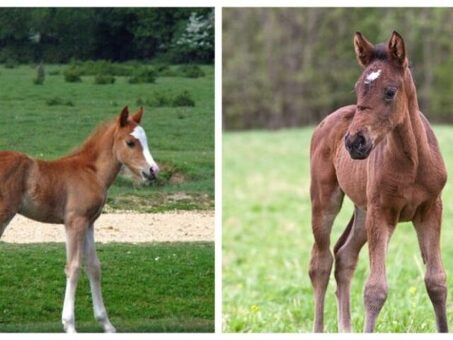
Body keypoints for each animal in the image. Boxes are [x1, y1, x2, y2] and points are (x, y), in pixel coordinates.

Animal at [0, 107, 159, 332]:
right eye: (130, 142)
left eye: (145, 140)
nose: (153, 171)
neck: (91, 172)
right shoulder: (75, 222)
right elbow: (74, 268)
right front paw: (69, 325)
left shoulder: (89, 223)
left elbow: (94, 266)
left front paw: (106, 324)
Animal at [308, 31, 446, 332]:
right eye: (359, 87)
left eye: (390, 91)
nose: (353, 142)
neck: (413, 163)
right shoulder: (382, 212)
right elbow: (375, 289)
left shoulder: (431, 209)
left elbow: (437, 281)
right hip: (326, 199)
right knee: (321, 262)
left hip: (363, 210)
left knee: (345, 255)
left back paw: (346, 329)